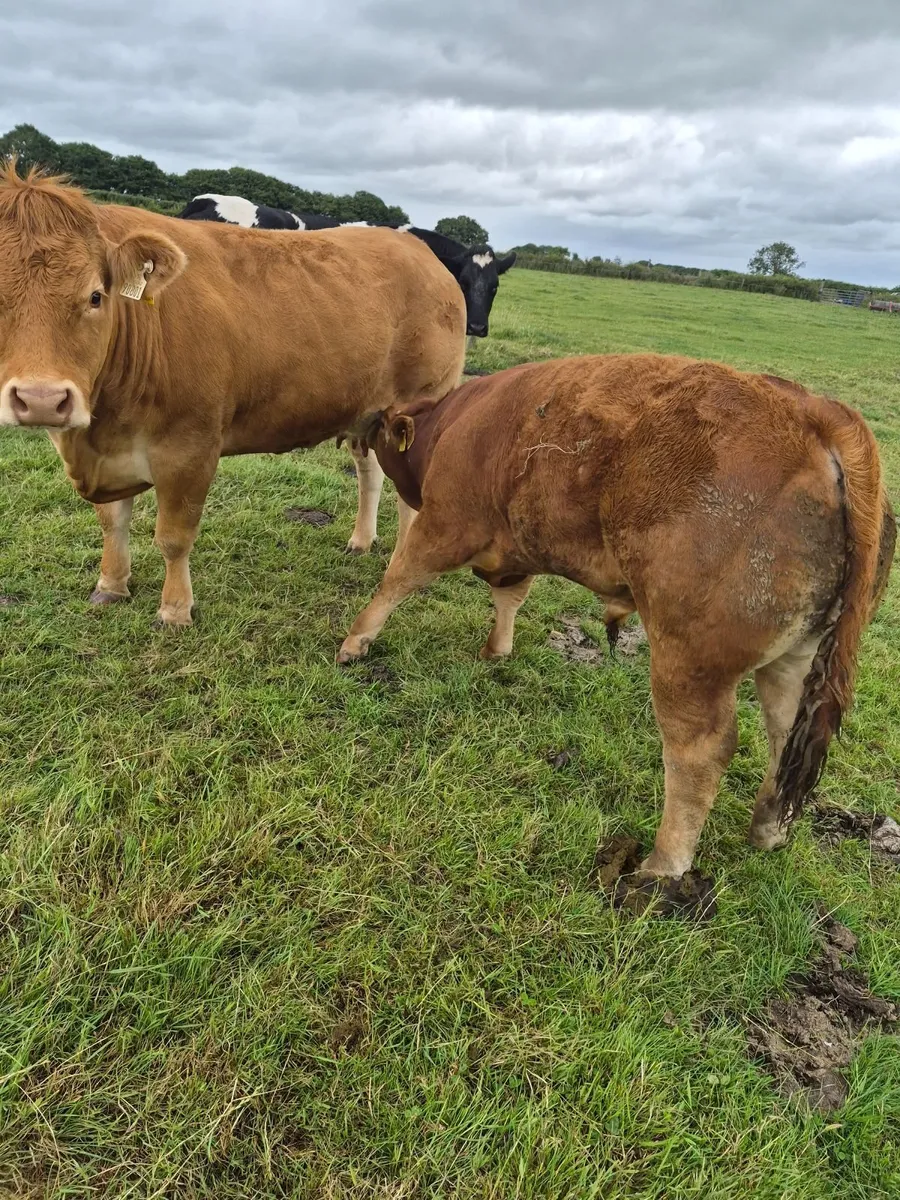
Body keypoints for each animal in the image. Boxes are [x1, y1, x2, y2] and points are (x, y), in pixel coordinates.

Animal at [0, 162, 466, 625]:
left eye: (96, 296)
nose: (41, 399)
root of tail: (418, 250)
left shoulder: (190, 448)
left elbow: (173, 537)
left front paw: (175, 610)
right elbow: (112, 522)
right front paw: (111, 585)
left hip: (416, 412)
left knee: (410, 496)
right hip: (365, 412)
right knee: (370, 473)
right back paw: (361, 541)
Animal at [336, 354, 895, 883]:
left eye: (381, 428)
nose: (356, 436)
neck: (454, 421)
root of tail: (814, 412)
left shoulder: (447, 523)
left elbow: (399, 578)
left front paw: (355, 641)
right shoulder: (517, 546)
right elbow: (510, 598)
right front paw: (497, 650)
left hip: (686, 661)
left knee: (701, 752)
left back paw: (663, 865)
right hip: (794, 659)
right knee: (785, 737)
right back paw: (767, 829)